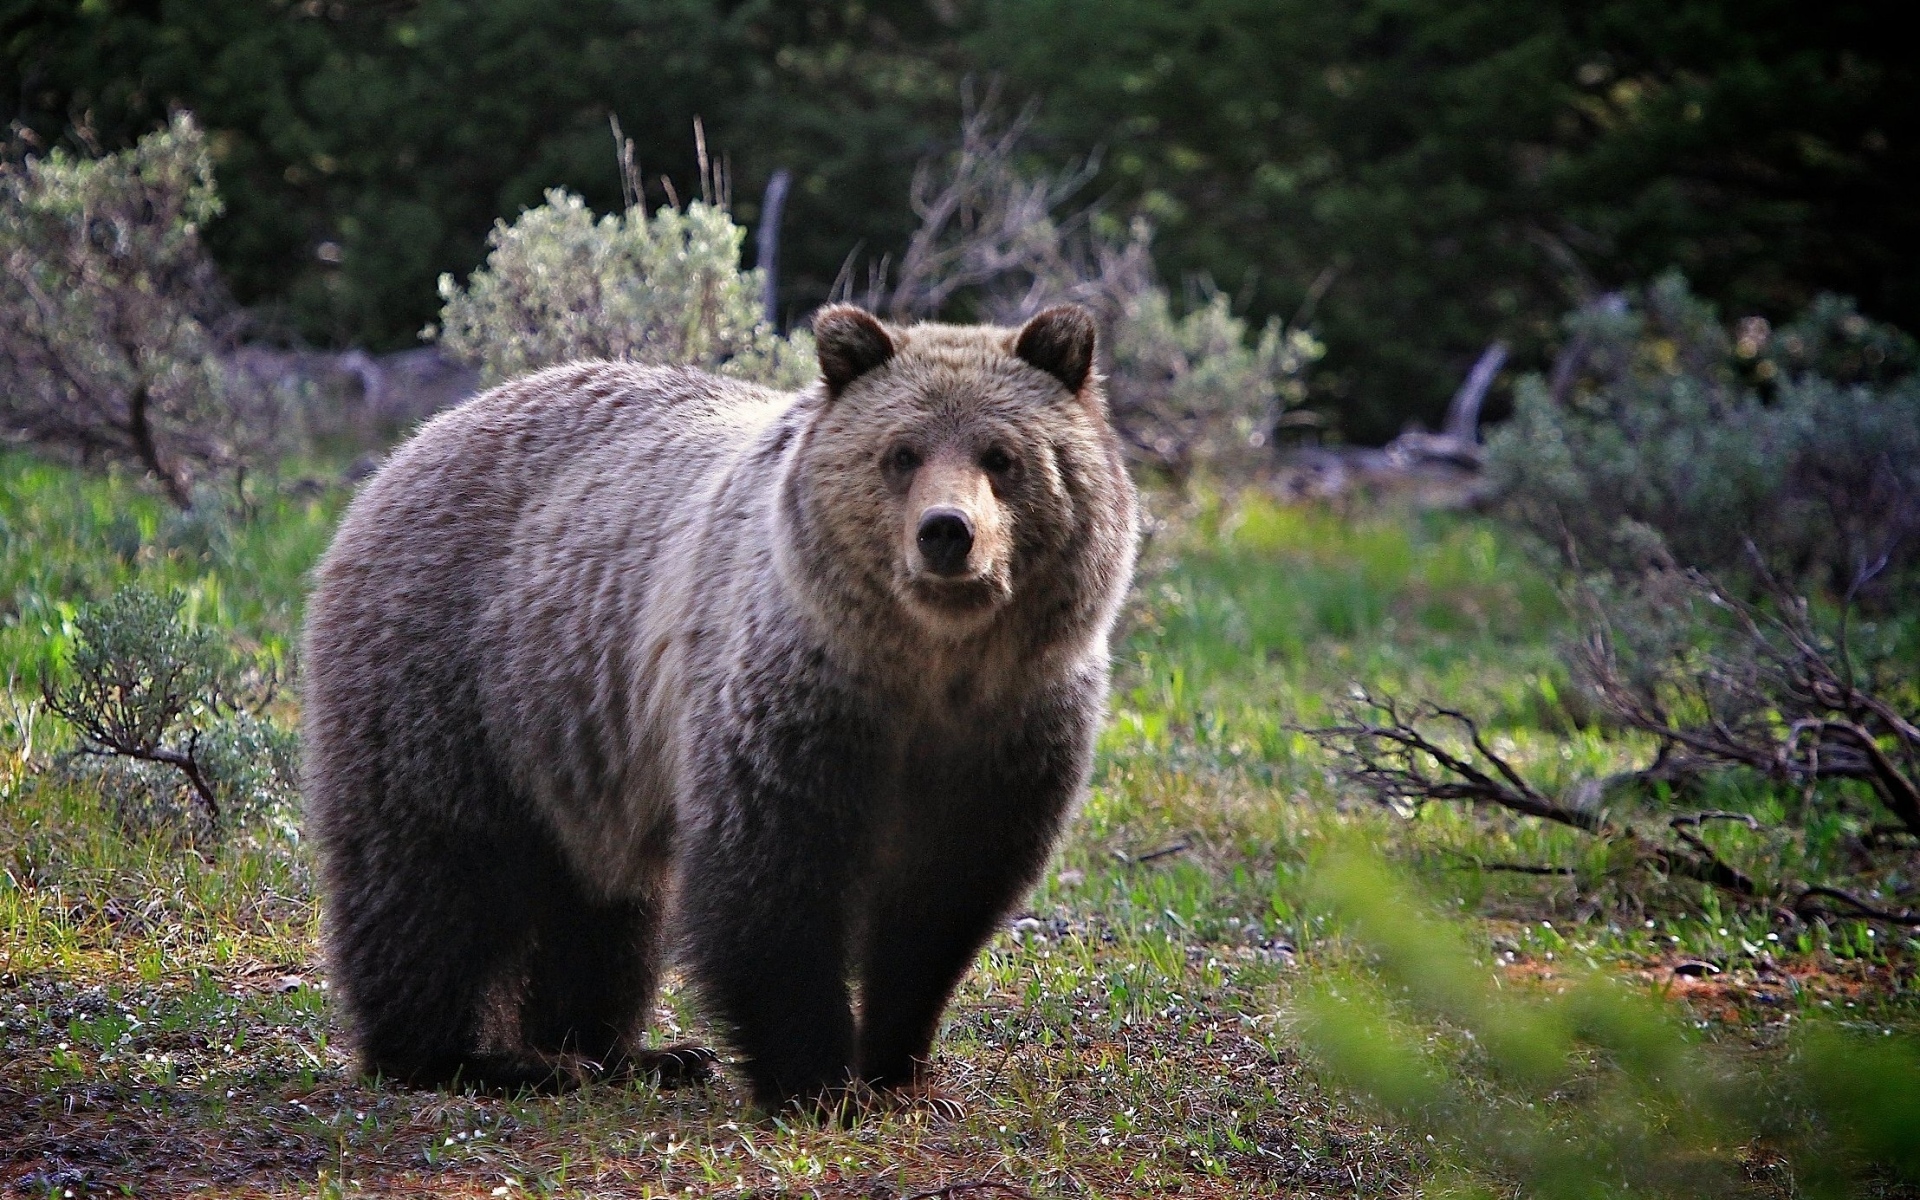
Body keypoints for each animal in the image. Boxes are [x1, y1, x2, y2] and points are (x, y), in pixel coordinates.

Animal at [300, 302, 1138, 1112]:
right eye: (901, 453)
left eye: (1002, 456)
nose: (946, 533)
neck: (927, 667)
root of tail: (416, 441)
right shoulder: (791, 699)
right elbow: (770, 881)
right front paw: (817, 1080)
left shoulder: (1011, 727)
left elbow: (943, 905)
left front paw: (901, 1071)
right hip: (455, 678)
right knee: (431, 871)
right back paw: (475, 1058)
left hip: (579, 749)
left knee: (605, 905)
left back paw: (625, 1053)